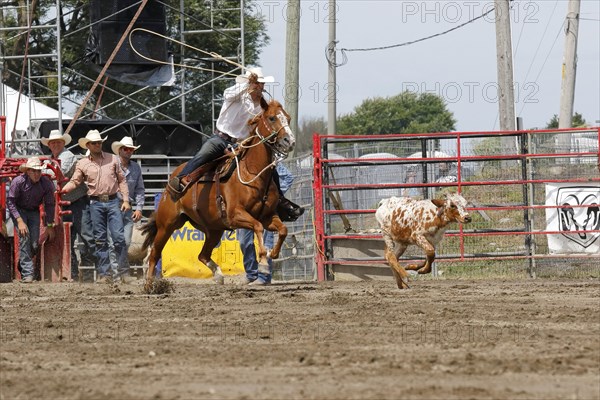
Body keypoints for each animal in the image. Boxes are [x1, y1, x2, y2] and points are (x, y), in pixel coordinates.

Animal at [139, 101, 298, 286]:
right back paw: (150, 285)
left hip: (214, 229)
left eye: (288, 118)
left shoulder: (267, 216)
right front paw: (264, 262)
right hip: (167, 225)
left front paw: (272, 253)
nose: (290, 141)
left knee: (202, 255)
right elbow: (258, 226)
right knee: (154, 254)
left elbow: (283, 230)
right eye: (272, 118)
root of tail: (168, 185)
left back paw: (218, 275)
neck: (251, 173)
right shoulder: (235, 215)